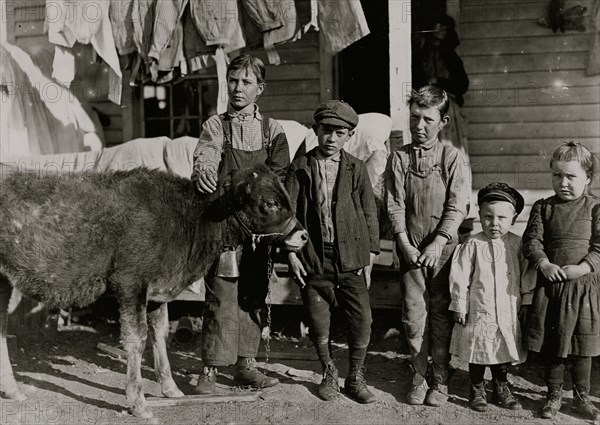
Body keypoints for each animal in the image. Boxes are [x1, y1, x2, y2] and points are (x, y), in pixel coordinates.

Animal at [0, 163, 308, 418]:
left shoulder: (157, 292)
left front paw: (171, 388)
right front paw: (138, 402)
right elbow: (137, 338)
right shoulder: (130, 284)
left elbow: (160, 334)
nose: (303, 235)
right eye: (269, 202)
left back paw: (13, 390)